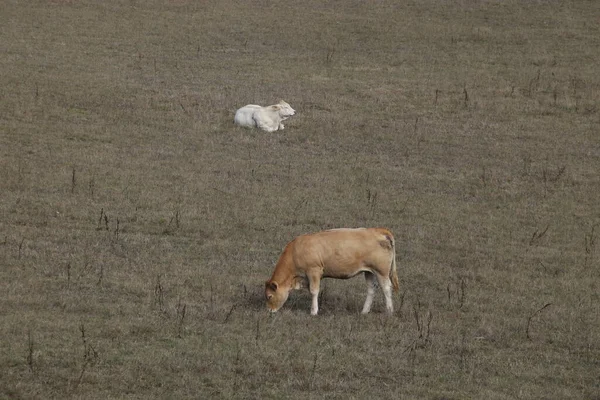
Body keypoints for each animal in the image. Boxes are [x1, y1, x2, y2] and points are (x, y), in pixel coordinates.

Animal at [264, 228, 398, 316]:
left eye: (269, 296)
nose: (269, 311)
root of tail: (378, 230)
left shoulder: (314, 271)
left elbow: (314, 291)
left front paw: (314, 311)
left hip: (381, 271)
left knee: (386, 288)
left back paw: (389, 311)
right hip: (369, 271)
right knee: (371, 289)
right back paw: (364, 311)